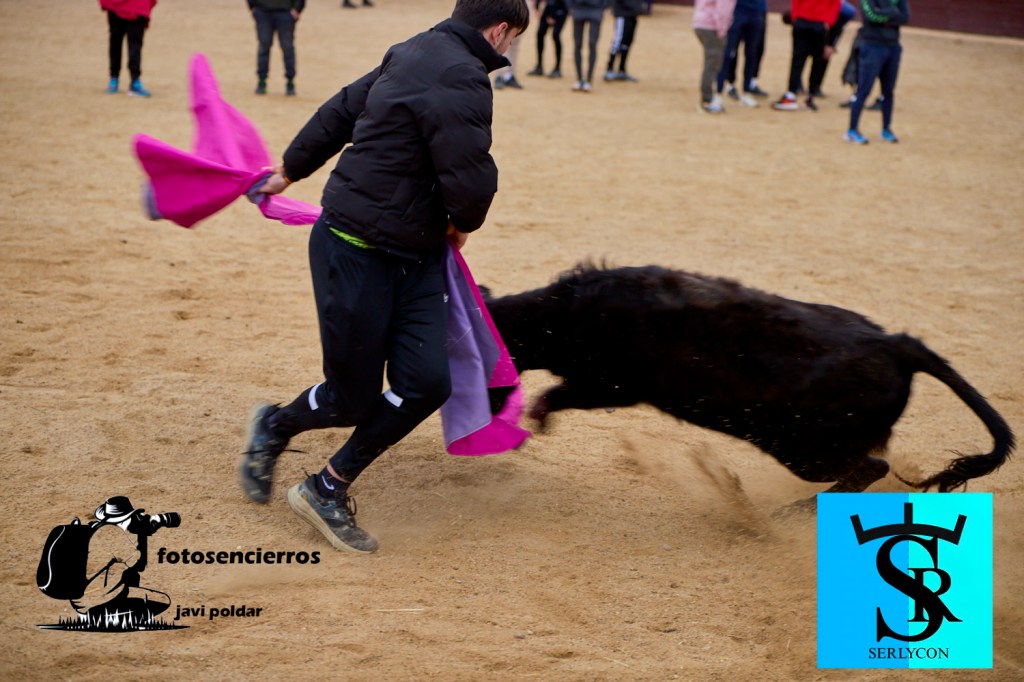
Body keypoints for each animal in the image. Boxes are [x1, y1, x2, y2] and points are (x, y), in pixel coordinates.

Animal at [484, 264, 1014, 493]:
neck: (565, 312)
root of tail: (899, 345)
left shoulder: (611, 385)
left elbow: (559, 394)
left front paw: (539, 418)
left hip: (806, 450)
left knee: (870, 469)